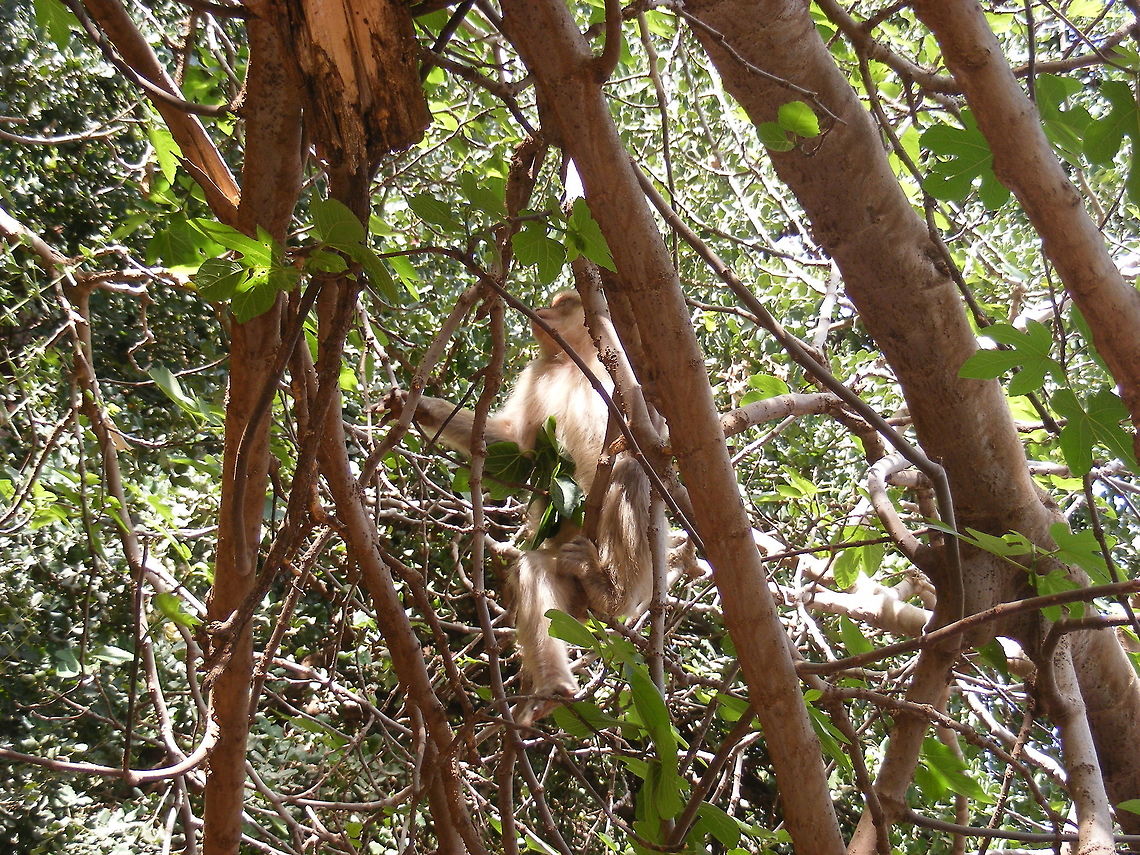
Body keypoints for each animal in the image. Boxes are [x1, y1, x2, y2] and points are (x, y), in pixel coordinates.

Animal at [387, 291, 656, 717]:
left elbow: (650, 441)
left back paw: (611, 593)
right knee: (536, 571)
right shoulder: (537, 373)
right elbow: (516, 447)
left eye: (562, 304)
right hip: (565, 565)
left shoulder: (619, 371)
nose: (543, 312)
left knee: (629, 473)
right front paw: (422, 407)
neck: (572, 361)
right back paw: (553, 687)